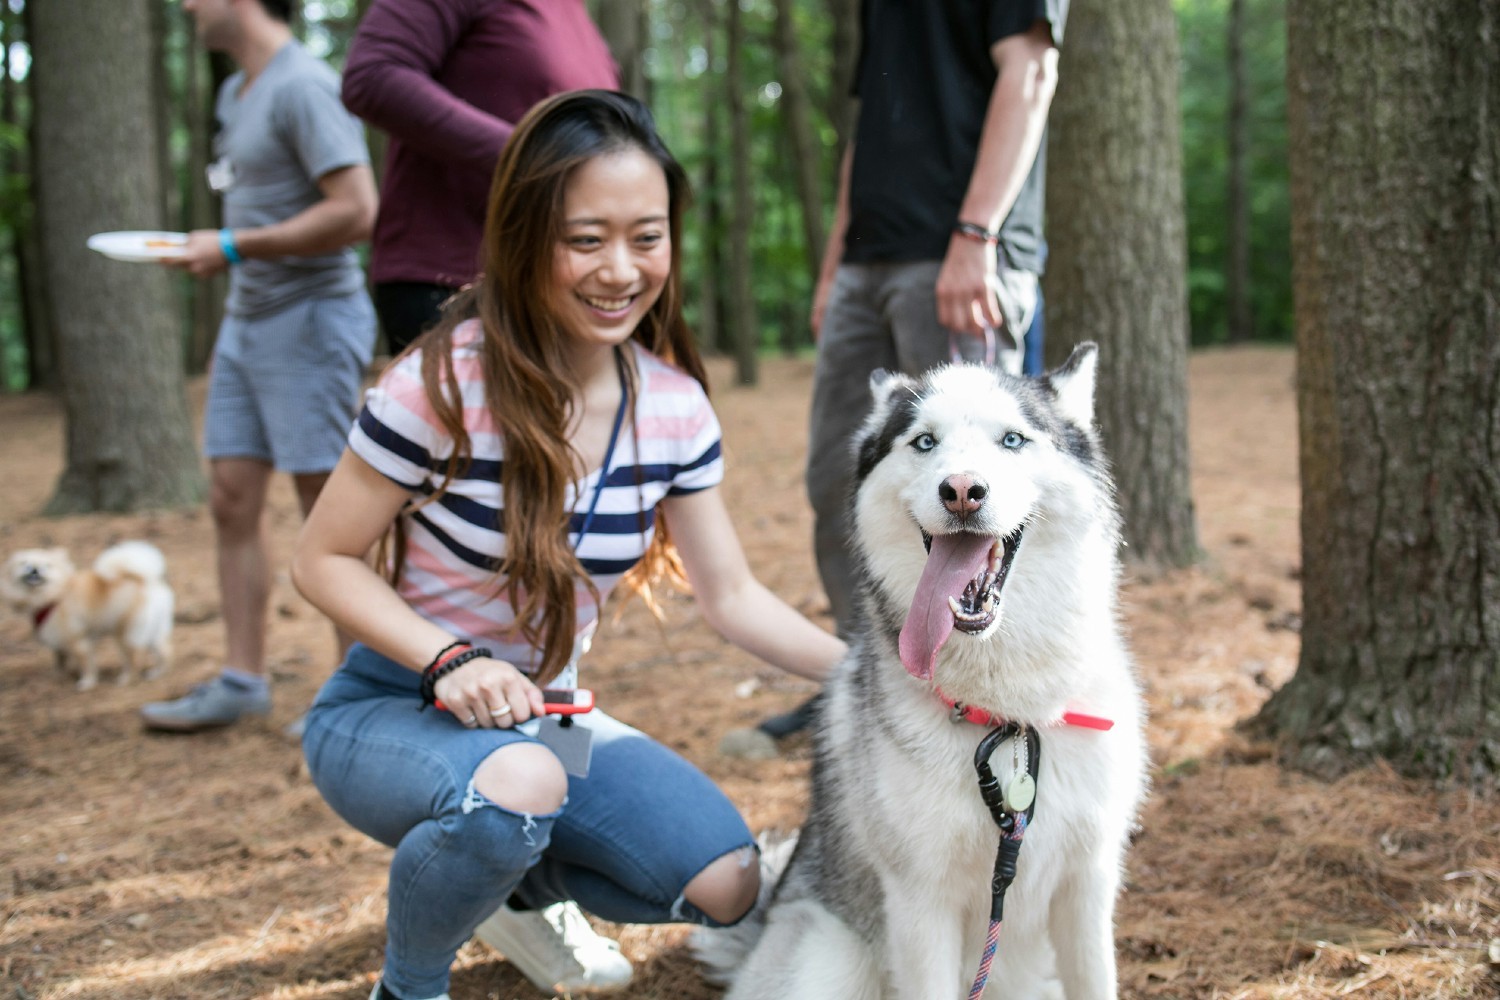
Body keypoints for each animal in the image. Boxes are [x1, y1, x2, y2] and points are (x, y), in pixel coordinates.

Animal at [3, 539, 174, 689]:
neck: (55, 594)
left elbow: (86, 664)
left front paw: (87, 683)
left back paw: (125, 679)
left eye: (47, 565)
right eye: (24, 563)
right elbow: (59, 662)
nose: (34, 569)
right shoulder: (59, 642)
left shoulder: (77, 640)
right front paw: (57, 677)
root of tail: (145, 579)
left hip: (125, 634)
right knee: (164, 652)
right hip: (153, 631)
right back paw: (156, 673)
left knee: (133, 659)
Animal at [699, 346, 1146, 1000]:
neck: (1008, 716)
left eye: (1012, 439)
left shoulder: (1087, 885)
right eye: (925, 442)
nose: (962, 491)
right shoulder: (921, 904)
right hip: (831, 961)